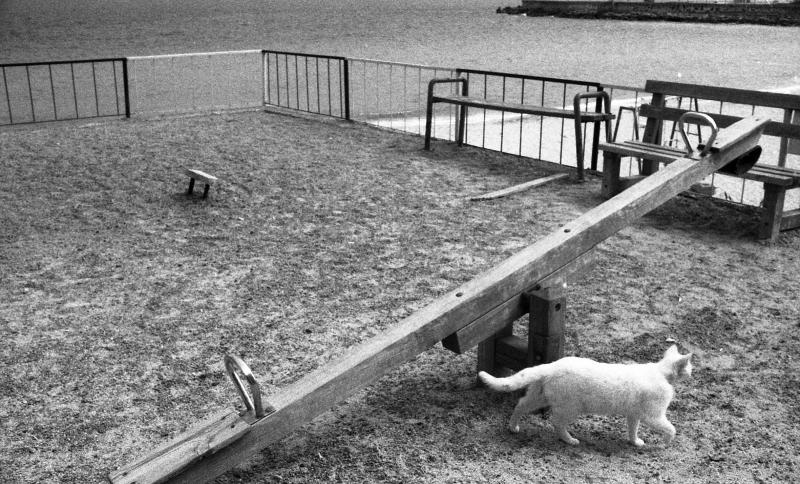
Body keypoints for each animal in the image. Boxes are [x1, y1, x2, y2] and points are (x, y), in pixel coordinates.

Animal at [478, 344, 692, 446]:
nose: (693, 372)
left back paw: (513, 427)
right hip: (571, 408)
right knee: (556, 422)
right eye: (689, 366)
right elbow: (671, 429)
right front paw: (665, 443)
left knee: (520, 405)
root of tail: (553, 365)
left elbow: (633, 430)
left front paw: (635, 442)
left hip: (539, 396)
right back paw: (570, 440)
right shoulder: (653, 416)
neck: (660, 372)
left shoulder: (634, 414)